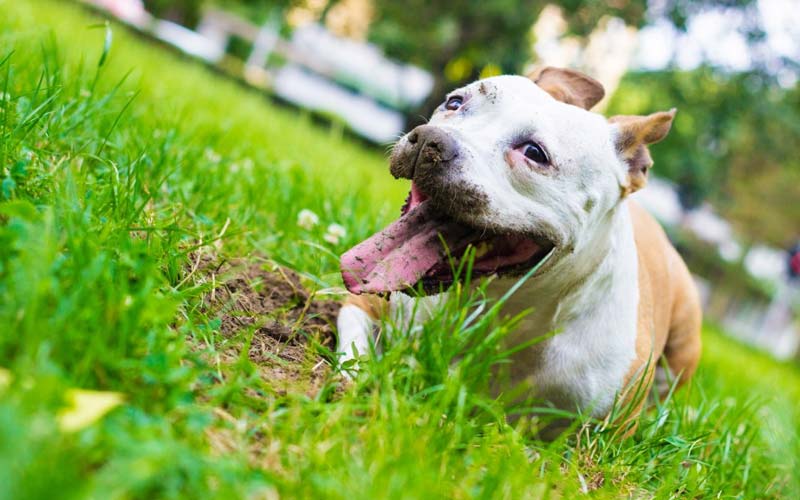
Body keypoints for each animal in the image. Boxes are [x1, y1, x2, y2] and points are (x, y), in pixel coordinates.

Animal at [336, 66, 700, 424]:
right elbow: (353, 357)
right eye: (455, 103)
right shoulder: (364, 305)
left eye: (534, 153)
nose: (430, 139)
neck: (502, 304)